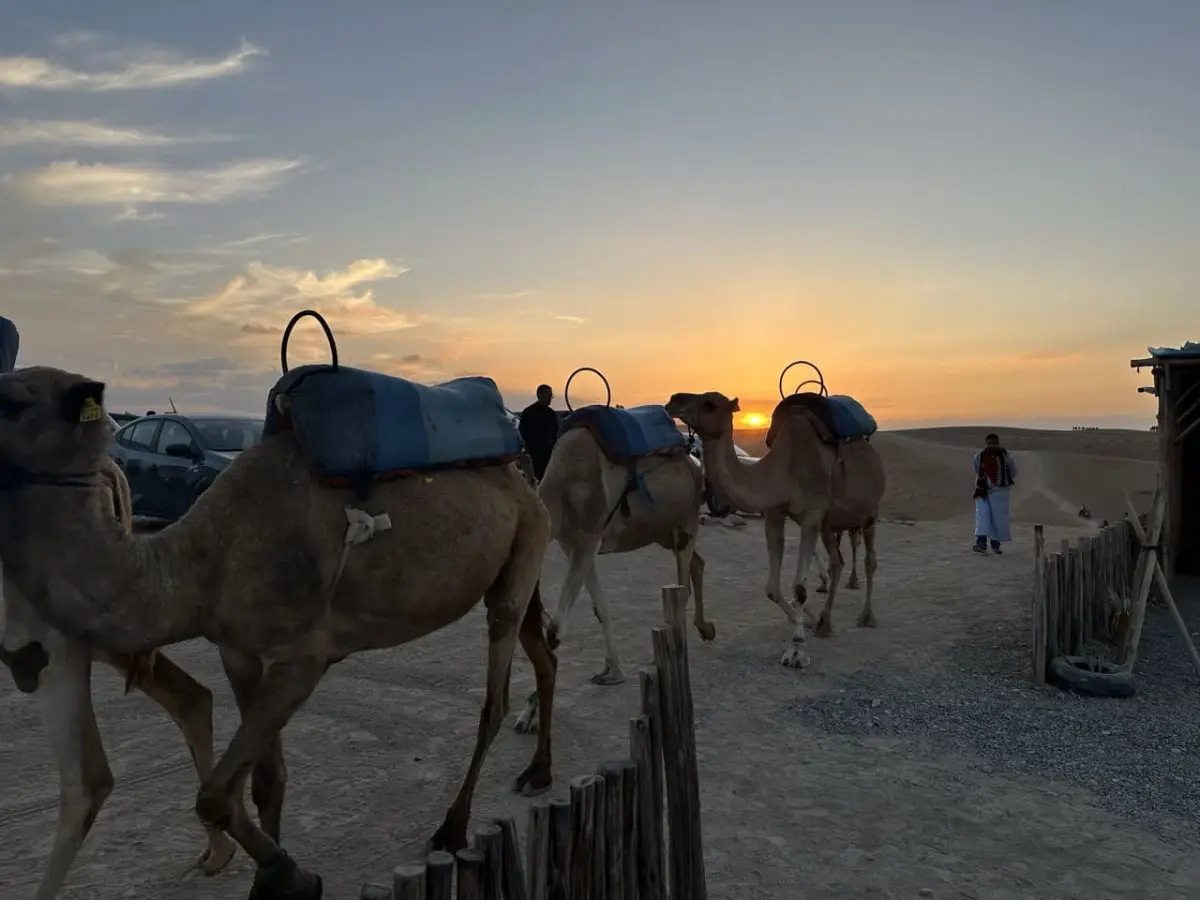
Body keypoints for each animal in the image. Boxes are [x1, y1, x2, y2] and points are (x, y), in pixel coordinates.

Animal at [512, 408, 714, 730]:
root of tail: (693, 460)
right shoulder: (574, 545)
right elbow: (600, 609)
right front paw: (613, 671)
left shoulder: (587, 539)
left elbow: (556, 629)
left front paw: (529, 713)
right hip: (661, 531)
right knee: (697, 561)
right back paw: (705, 629)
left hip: (686, 519)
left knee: (683, 579)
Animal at [665, 390, 885, 669]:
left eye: (710, 404)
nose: (674, 399)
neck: (782, 470)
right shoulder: (774, 514)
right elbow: (771, 587)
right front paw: (807, 620)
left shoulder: (811, 516)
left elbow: (800, 588)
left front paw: (797, 650)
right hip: (829, 523)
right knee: (837, 562)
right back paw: (825, 622)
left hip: (870, 512)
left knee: (870, 560)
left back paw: (867, 616)